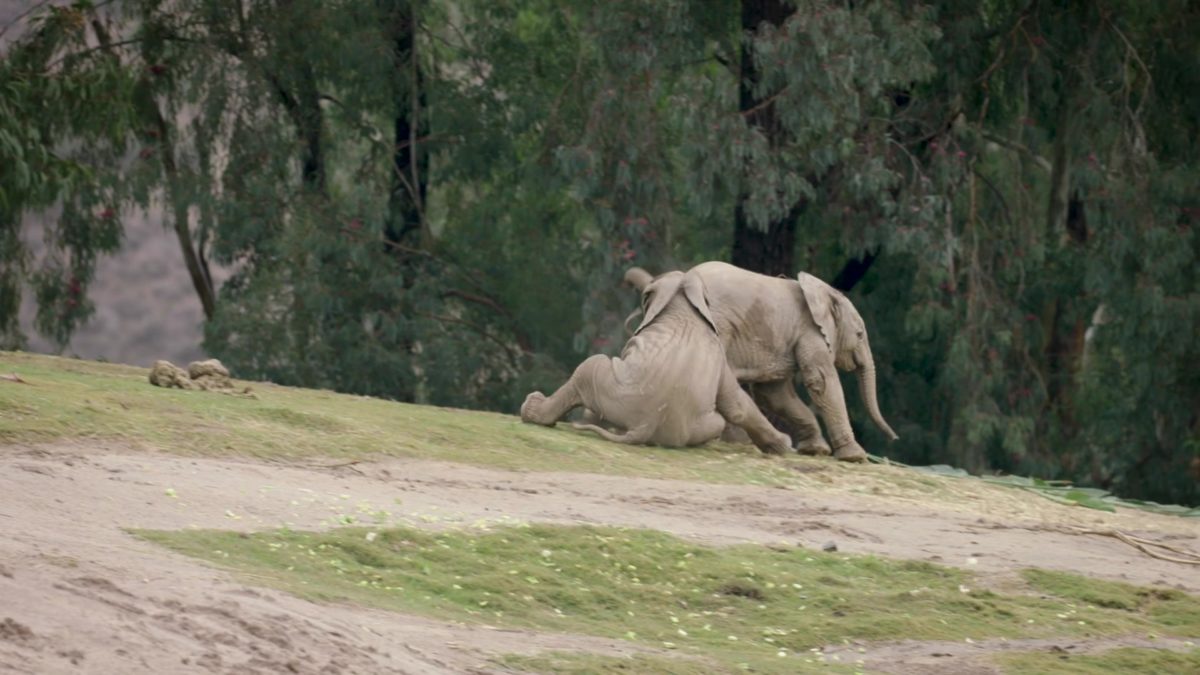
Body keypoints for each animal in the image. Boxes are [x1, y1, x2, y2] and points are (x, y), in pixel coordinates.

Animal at [518, 267, 792, 451]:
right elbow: (736, 405)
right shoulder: (720, 356)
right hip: (696, 424)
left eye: (645, 296)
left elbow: (735, 404)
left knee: (590, 366)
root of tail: (644, 426)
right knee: (720, 421)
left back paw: (533, 409)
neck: (682, 304)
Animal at [628, 260, 892, 458]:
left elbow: (775, 395)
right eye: (860, 334)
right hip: (717, 326)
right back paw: (735, 442)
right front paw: (855, 457)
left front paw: (815, 450)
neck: (823, 291)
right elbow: (822, 382)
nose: (893, 437)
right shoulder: (810, 333)